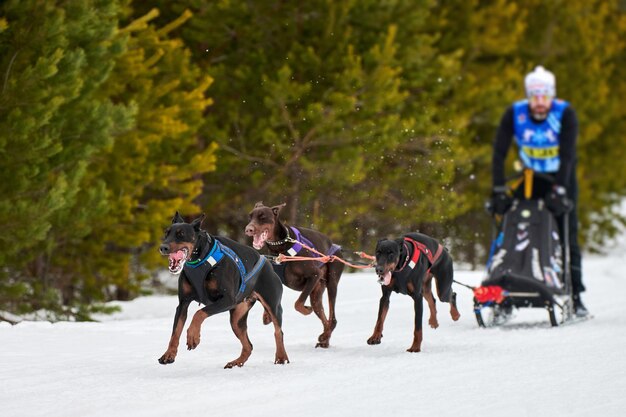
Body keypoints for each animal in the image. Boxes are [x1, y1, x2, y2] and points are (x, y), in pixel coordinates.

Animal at [158, 211, 290, 368]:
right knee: (248, 345)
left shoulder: (227, 300)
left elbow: (199, 313)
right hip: (237, 318)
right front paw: (168, 355)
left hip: (272, 305)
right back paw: (236, 363)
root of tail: (268, 263)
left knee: (278, 332)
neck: (200, 259)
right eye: (166, 233)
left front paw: (193, 336)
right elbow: (175, 331)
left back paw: (281, 357)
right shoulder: (183, 303)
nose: (163, 247)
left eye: (181, 234)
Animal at [244, 202, 344, 348]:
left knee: (333, 319)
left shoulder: (314, 275)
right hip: (316, 294)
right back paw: (324, 339)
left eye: (262, 217)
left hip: (331, 283)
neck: (280, 248)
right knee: (324, 317)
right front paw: (267, 316)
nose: (248, 229)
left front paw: (306, 310)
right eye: (250, 217)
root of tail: (337, 247)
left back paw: (324, 336)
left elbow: (298, 303)